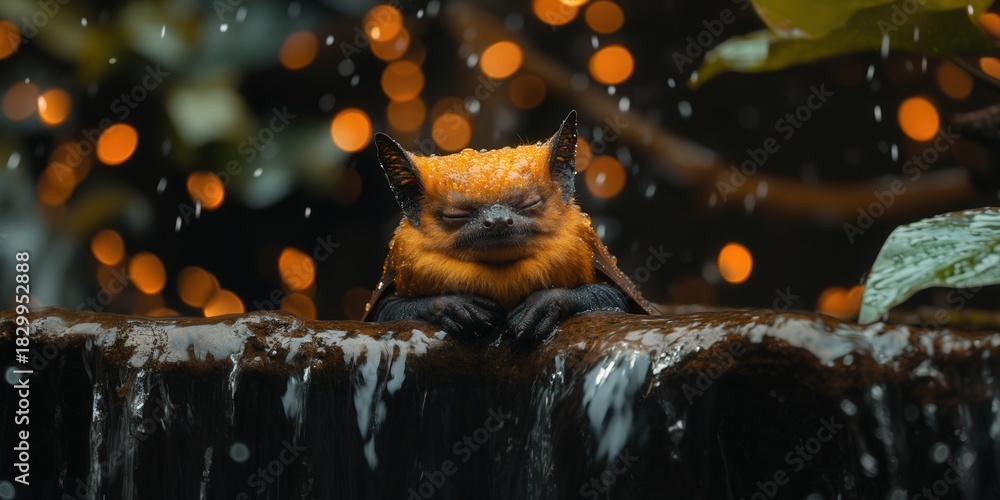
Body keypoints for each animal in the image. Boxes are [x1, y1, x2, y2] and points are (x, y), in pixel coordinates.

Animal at [363, 111, 659, 347]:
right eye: (455, 215)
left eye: (530, 203)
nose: (497, 220)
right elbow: (387, 312)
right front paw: (456, 307)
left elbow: (614, 299)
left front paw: (541, 307)